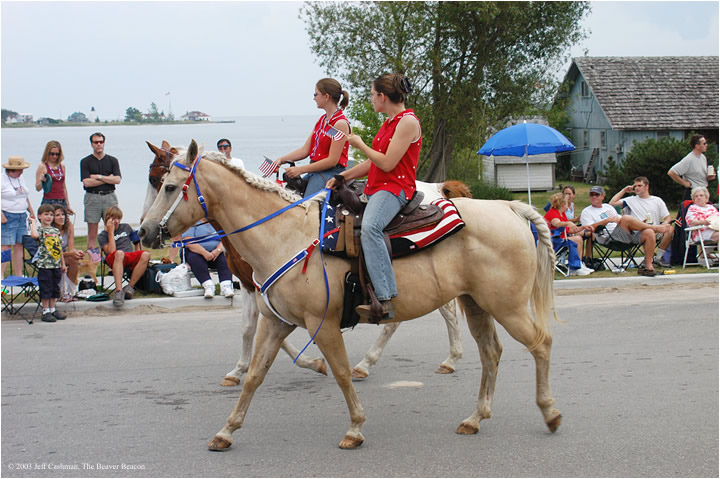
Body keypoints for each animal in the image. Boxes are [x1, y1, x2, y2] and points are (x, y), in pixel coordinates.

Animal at [144, 141, 470, 384]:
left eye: (164, 184)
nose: (144, 230)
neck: (277, 226)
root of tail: (437, 188)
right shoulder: (252, 285)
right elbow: (250, 328)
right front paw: (239, 370)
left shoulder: (264, 287)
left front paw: (312, 362)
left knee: (437, 312)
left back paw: (436, 360)